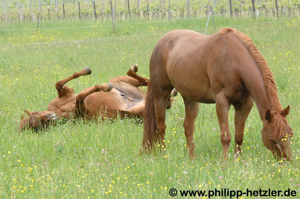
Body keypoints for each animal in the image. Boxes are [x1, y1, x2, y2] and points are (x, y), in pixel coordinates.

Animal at [18, 64, 177, 131]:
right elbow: (81, 96)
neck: (60, 112)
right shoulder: (82, 111)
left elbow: (60, 84)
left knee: (144, 80)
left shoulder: (67, 93)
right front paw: (104, 87)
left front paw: (86, 71)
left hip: (121, 80)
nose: (51, 117)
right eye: (36, 126)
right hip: (138, 111)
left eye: (37, 113)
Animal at [142, 27, 294, 160]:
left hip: (190, 98)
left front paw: (237, 160)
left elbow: (239, 136)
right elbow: (225, 137)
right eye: (273, 140)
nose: (287, 161)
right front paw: (225, 163)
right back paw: (163, 155)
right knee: (161, 127)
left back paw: (192, 158)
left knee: (188, 127)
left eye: (290, 134)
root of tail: (160, 43)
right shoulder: (222, 101)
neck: (234, 61)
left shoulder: (244, 104)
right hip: (161, 94)